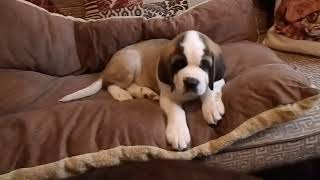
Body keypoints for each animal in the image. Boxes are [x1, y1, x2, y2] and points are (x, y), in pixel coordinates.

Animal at [59, 30, 225, 150]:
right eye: (178, 65)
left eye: (205, 65)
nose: (191, 82)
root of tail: (106, 69)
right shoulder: (167, 97)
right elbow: (177, 111)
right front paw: (178, 132)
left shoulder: (217, 80)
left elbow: (210, 90)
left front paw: (212, 108)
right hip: (130, 62)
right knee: (109, 83)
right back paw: (122, 94)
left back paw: (145, 92)